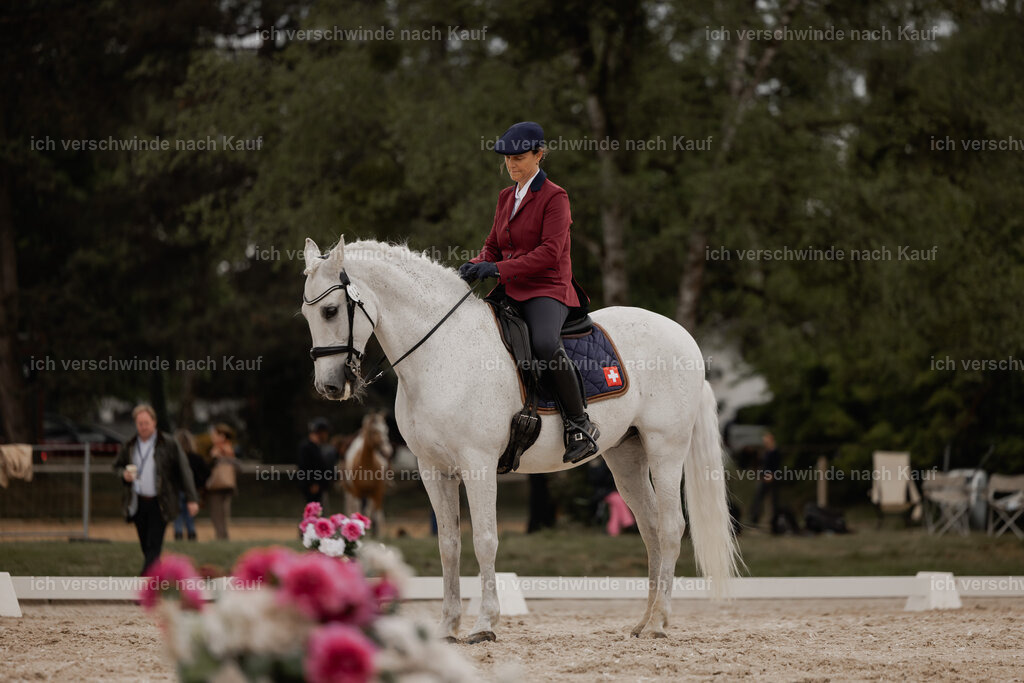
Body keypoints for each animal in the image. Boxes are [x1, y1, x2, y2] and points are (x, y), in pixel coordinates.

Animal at [300, 236, 740, 643]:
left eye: (330, 310)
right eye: (307, 313)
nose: (329, 386)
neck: (443, 352)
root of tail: (684, 337)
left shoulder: (477, 464)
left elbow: (484, 541)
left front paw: (484, 625)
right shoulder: (433, 469)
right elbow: (449, 545)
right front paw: (447, 627)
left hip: (666, 448)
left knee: (670, 527)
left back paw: (661, 623)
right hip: (626, 457)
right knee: (650, 529)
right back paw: (643, 622)